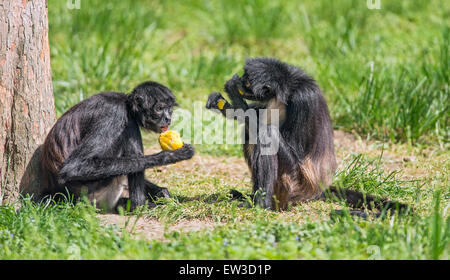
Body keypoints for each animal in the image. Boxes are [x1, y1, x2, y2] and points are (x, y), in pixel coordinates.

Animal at [41, 80, 195, 210]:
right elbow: (74, 168)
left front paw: (160, 192)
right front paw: (170, 156)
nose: (168, 118)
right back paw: (138, 205)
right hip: (94, 192)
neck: (126, 104)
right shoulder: (114, 113)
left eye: (169, 109)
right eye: (159, 108)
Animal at [207, 56, 408, 214]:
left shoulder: (303, 98)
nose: (239, 79)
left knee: (266, 133)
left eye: (246, 80)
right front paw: (223, 104)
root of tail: (317, 189)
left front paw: (233, 92)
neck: (288, 90)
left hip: (293, 183)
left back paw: (262, 204)